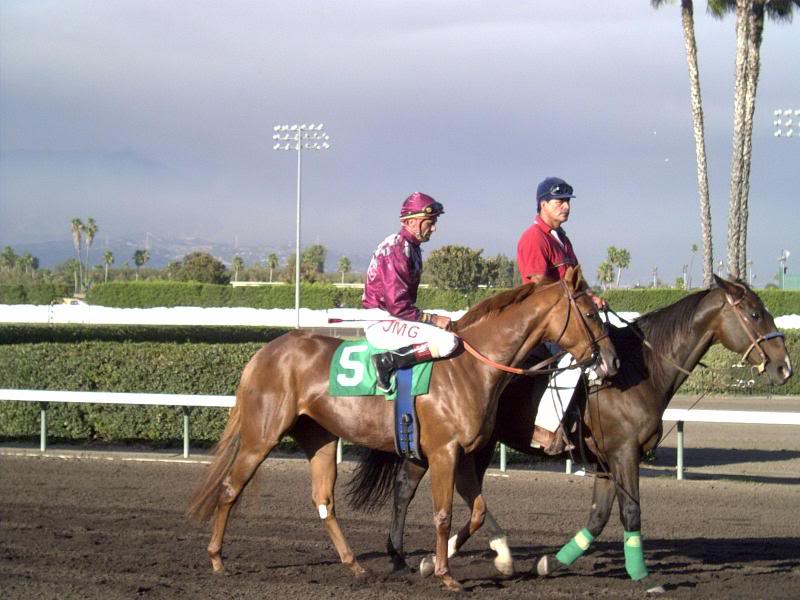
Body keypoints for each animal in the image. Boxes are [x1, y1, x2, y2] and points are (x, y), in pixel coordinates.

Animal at [187, 266, 619, 591]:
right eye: (591, 314)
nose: (611, 361)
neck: (470, 367)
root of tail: (264, 352)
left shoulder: (464, 454)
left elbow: (478, 511)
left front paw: (473, 560)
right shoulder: (444, 452)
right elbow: (442, 513)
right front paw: (445, 574)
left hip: (319, 436)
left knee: (323, 500)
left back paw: (355, 565)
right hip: (262, 435)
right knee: (231, 488)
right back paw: (216, 559)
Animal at [346, 276, 792, 585]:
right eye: (755, 314)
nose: (784, 366)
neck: (636, 372)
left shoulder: (606, 459)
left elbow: (598, 515)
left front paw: (552, 562)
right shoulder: (624, 452)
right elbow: (630, 510)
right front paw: (641, 574)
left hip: (466, 445)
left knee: (423, 488)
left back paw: (426, 556)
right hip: (456, 444)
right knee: (414, 488)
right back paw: (415, 556)